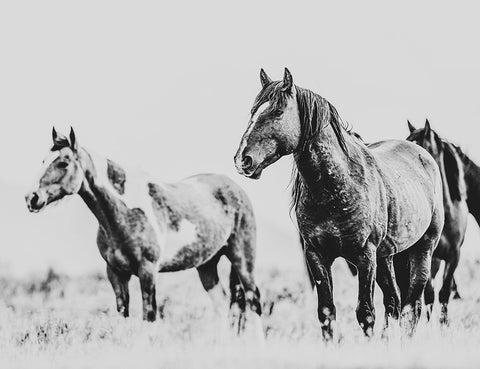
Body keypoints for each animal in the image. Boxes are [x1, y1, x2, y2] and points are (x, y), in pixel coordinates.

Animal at [26, 126, 262, 330]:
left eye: (63, 163)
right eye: (43, 160)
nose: (32, 198)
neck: (123, 214)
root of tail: (236, 188)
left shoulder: (147, 270)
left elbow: (149, 316)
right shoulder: (115, 273)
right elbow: (123, 314)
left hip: (242, 257)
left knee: (253, 299)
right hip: (207, 264)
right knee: (223, 306)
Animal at [234, 68, 444, 340]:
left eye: (278, 111)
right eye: (253, 111)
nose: (242, 160)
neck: (334, 189)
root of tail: (422, 154)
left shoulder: (365, 256)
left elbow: (365, 313)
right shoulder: (317, 256)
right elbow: (326, 312)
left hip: (423, 249)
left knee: (412, 306)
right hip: (386, 257)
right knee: (393, 304)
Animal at [404, 120, 468, 322]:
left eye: (420, 146)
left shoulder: (454, 256)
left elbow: (445, 292)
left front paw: (443, 323)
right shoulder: (428, 254)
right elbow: (429, 294)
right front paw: (429, 321)